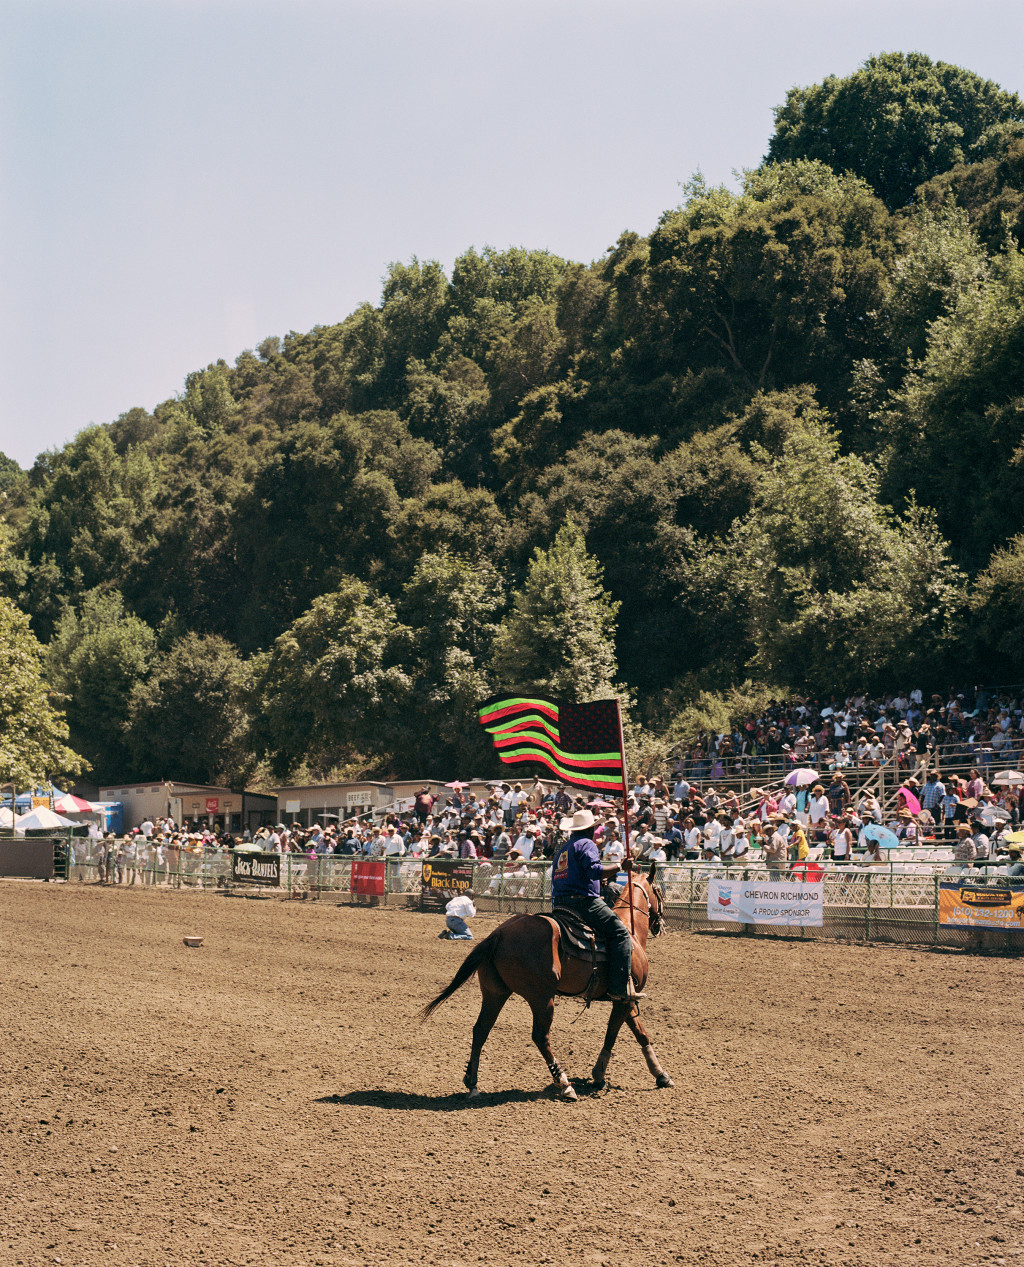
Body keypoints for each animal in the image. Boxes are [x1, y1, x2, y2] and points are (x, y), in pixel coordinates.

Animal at [420, 861, 674, 1099]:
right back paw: (564, 1084)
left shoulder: (625, 999)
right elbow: (612, 1035)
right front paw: (599, 1076)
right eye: (660, 891)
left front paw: (661, 1074)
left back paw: (472, 1083)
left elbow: (640, 1033)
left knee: (481, 1029)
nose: (660, 923)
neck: (630, 931)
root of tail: (499, 933)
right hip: (542, 998)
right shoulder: (624, 998)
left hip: (495, 993)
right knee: (540, 1037)